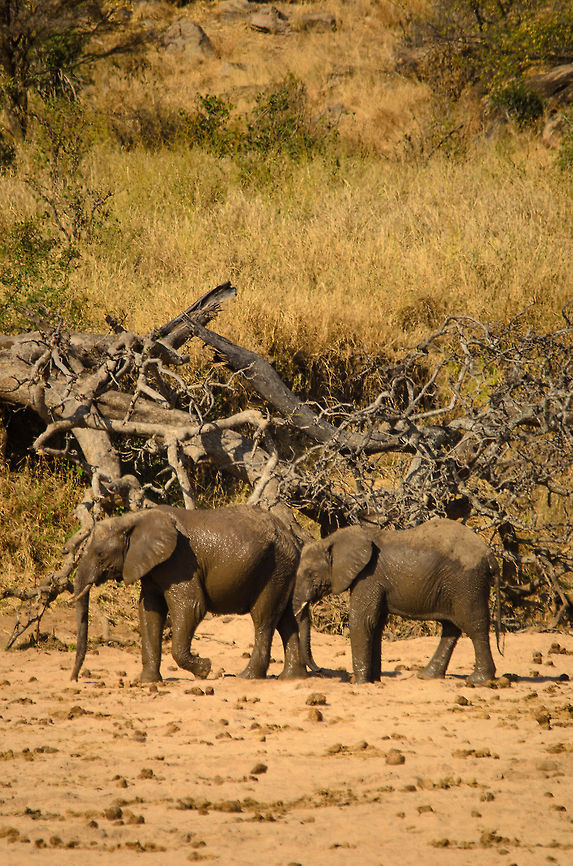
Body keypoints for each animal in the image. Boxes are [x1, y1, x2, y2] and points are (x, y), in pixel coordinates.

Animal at [71, 504, 307, 683]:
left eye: (100, 554)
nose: (74, 679)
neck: (133, 519)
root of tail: (292, 535)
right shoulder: (153, 568)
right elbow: (149, 612)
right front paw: (147, 682)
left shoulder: (179, 562)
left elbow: (191, 607)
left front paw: (204, 669)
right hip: (284, 567)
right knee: (285, 618)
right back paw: (292, 677)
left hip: (274, 566)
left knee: (263, 618)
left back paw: (246, 677)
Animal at [293, 518, 501, 684]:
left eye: (310, 574)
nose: (320, 670)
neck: (331, 540)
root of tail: (489, 554)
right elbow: (376, 624)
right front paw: (374, 681)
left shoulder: (369, 576)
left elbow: (362, 621)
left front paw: (359, 683)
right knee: (451, 627)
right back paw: (427, 676)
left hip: (467, 583)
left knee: (474, 626)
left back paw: (479, 680)